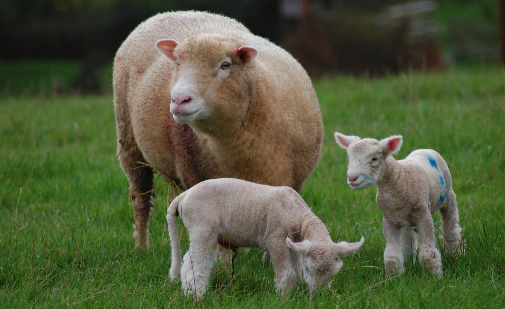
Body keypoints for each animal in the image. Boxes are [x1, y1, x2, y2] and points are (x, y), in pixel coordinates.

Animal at [112, 10, 320, 249]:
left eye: (225, 65)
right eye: (177, 63)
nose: (179, 99)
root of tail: (177, 12)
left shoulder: (292, 184)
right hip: (129, 142)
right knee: (141, 199)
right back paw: (141, 247)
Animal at [167, 178, 364, 296]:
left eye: (332, 274)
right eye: (310, 269)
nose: (316, 295)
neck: (296, 212)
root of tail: (183, 196)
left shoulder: (295, 244)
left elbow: (296, 268)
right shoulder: (275, 239)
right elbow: (286, 273)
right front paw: (286, 296)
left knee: (190, 259)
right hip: (201, 226)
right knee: (196, 263)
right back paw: (196, 294)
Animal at [332, 131, 462, 276]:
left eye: (374, 159)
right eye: (350, 158)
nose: (352, 178)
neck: (400, 178)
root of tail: (424, 149)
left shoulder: (423, 215)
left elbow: (428, 254)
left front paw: (434, 276)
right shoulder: (389, 219)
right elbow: (391, 255)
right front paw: (394, 276)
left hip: (448, 194)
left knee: (451, 227)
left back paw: (454, 253)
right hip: (406, 218)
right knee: (408, 238)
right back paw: (409, 261)